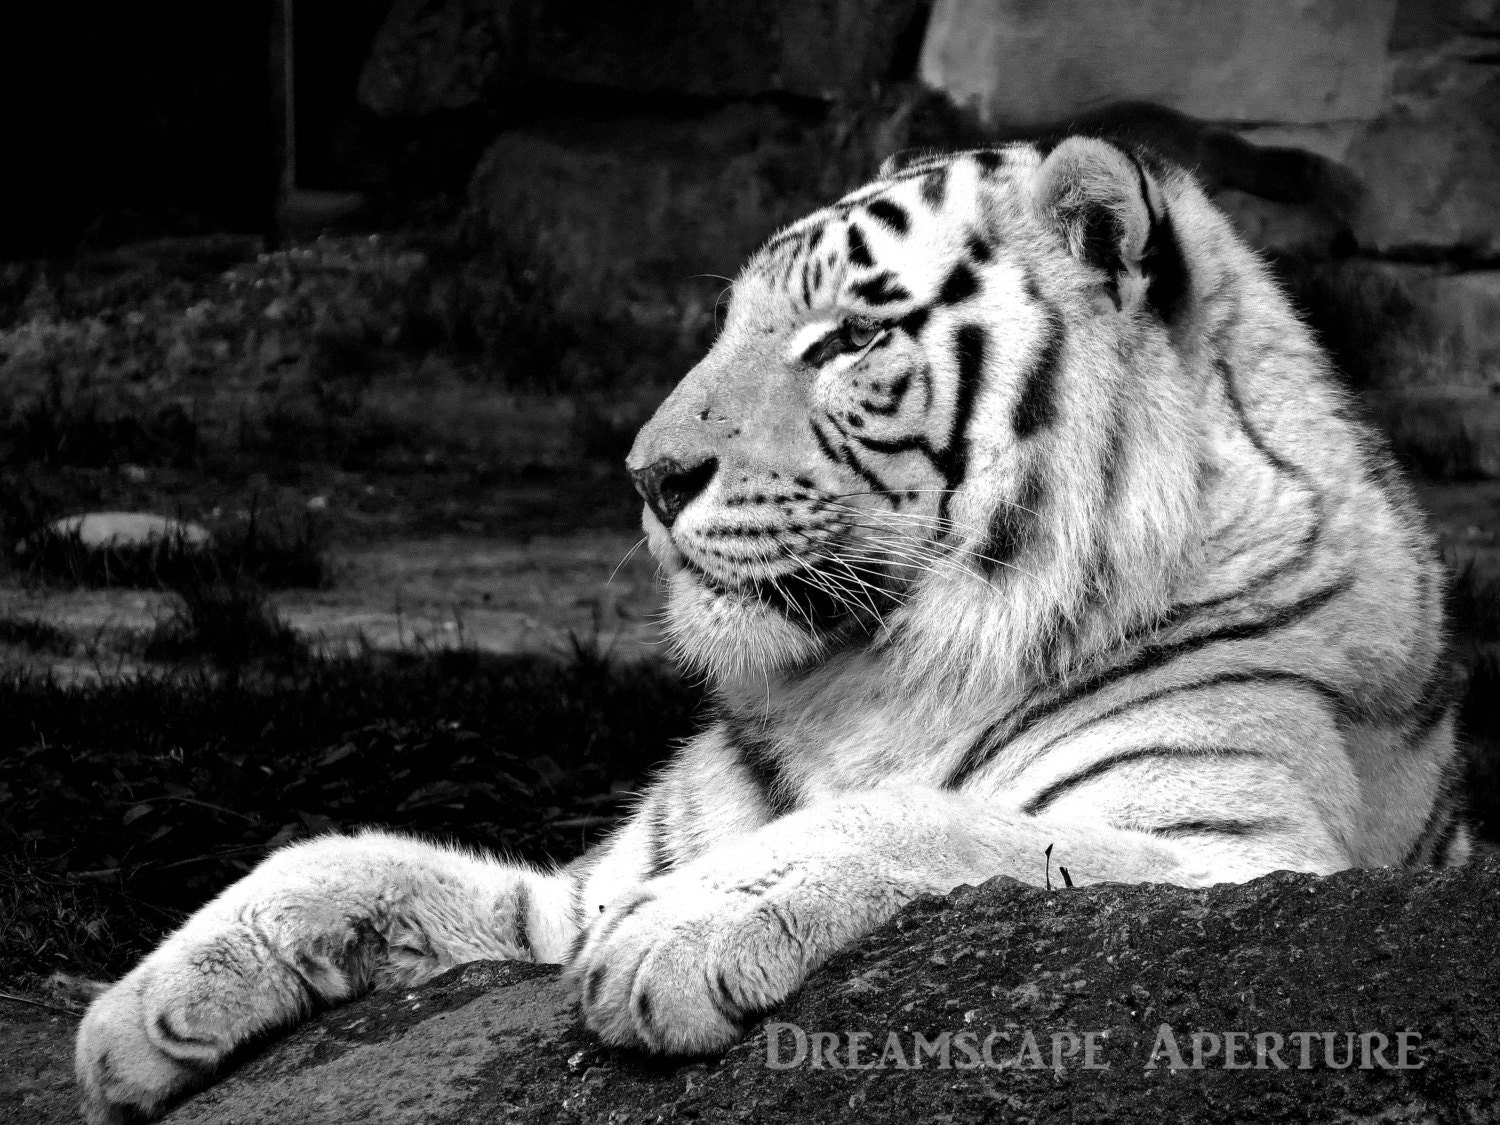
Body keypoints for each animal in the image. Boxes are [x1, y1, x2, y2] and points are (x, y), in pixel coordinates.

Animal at [76, 136, 1470, 1123]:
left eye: (850, 335)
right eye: (730, 327)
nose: (649, 475)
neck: (869, 669)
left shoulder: (1240, 855)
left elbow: (936, 819)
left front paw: (675, 939)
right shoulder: (578, 890)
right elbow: (344, 856)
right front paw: (134, 1015)